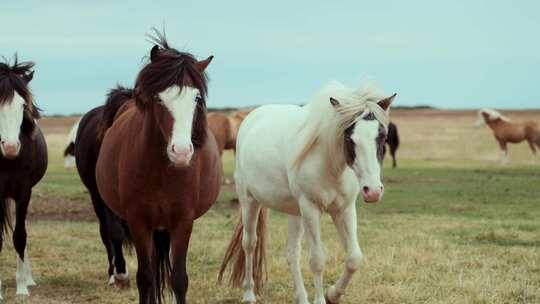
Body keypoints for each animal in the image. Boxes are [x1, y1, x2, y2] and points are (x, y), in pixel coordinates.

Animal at [95, 31, 221, 304]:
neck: (163, 173)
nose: (181, 152)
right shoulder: (139, 222)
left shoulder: (183, 222)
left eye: (196, 98)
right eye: (158, 98)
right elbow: (145, 278)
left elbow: (179, 279)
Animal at [219, 81, 396, 304]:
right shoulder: (311, 208)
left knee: (292, 252)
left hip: (295, 212)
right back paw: (249, 294)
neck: (330, 166)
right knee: (250, 243)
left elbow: (354, 257)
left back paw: (301, 297)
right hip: (249, 201)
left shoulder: (344, 209)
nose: (372, 191)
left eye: (382, 136)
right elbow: (317, 260)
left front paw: (333, 294)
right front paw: (321, 298)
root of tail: (252, 117)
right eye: (349, 138)